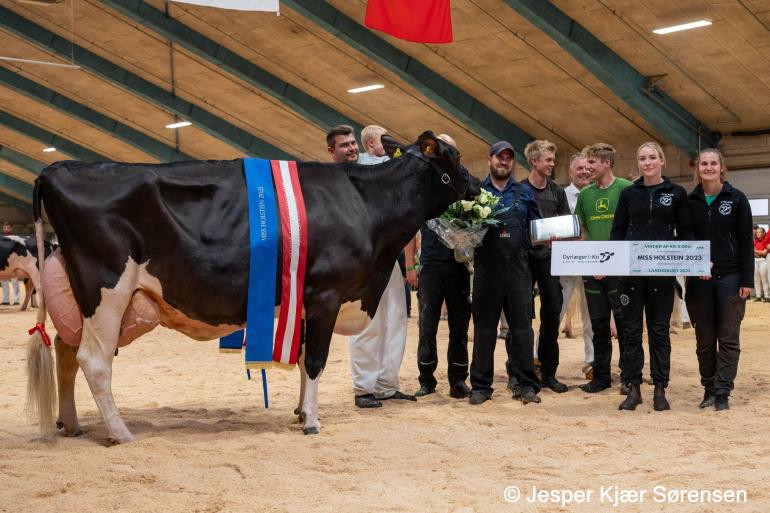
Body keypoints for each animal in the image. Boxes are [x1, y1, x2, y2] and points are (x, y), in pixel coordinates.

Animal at [27, 132, 476, 440]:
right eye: (454, 157)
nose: (478, 186)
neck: (364, 201)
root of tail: (56, 168)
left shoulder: (303, 301)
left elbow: (301, 358)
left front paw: (300, 411)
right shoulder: (326, 295)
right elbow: (316, 360)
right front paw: (312, 422)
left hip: (83, 296)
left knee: (66, 351)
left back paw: (72, 423)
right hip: (107, 291)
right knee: (93, 361)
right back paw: (121, 432)